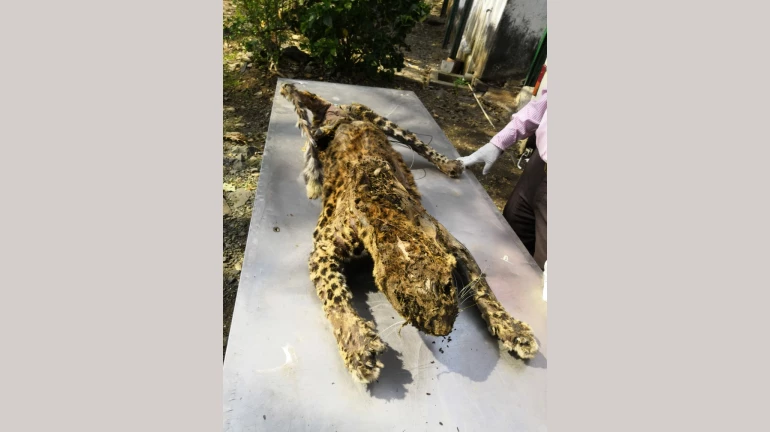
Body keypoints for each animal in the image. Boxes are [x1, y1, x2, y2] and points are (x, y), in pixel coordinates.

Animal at [280, 83, 539, 384]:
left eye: (447, 286)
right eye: (405, 299)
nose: (443, 329)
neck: (384, 209)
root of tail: (333, 110)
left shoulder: (454, 245)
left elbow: (483, 289)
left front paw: (512, 330)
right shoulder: (323, 248)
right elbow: (334, 298)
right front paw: (358, 346)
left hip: (379, 120)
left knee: (418, 143)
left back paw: (450, 164)